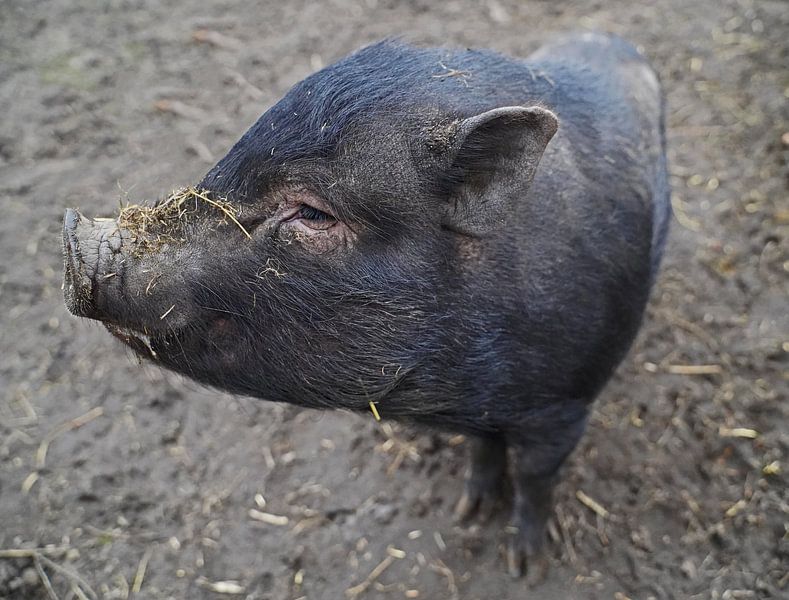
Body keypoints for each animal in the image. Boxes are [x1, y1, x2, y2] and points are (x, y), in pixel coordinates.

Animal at [61, 31, 668, 576]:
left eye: (313, 213)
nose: (71, 235)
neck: (461, 392)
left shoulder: (566, 406)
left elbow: (535, 478)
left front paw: (525, 567)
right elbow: (483, 450)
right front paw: (468, 512)